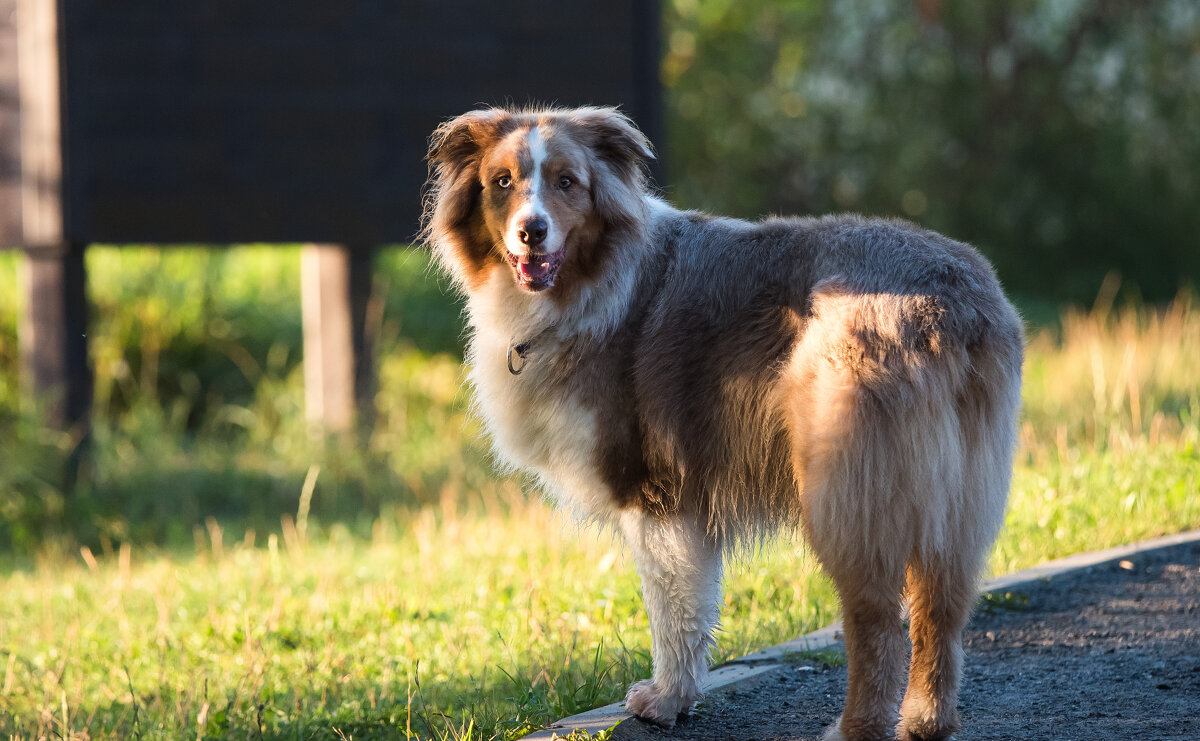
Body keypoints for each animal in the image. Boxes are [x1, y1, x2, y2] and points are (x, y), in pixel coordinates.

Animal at [422, 105, 1022, 738]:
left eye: (567, 182)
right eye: (502, 182)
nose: (531, 231)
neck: (592, 282)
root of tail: (950, 306)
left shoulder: (656, 490)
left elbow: (672, 608)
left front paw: (665, 700)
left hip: (847, 486)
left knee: (877, 617)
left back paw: (855, 727)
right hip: (959, 492)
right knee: (941, 606)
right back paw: (928, 720)